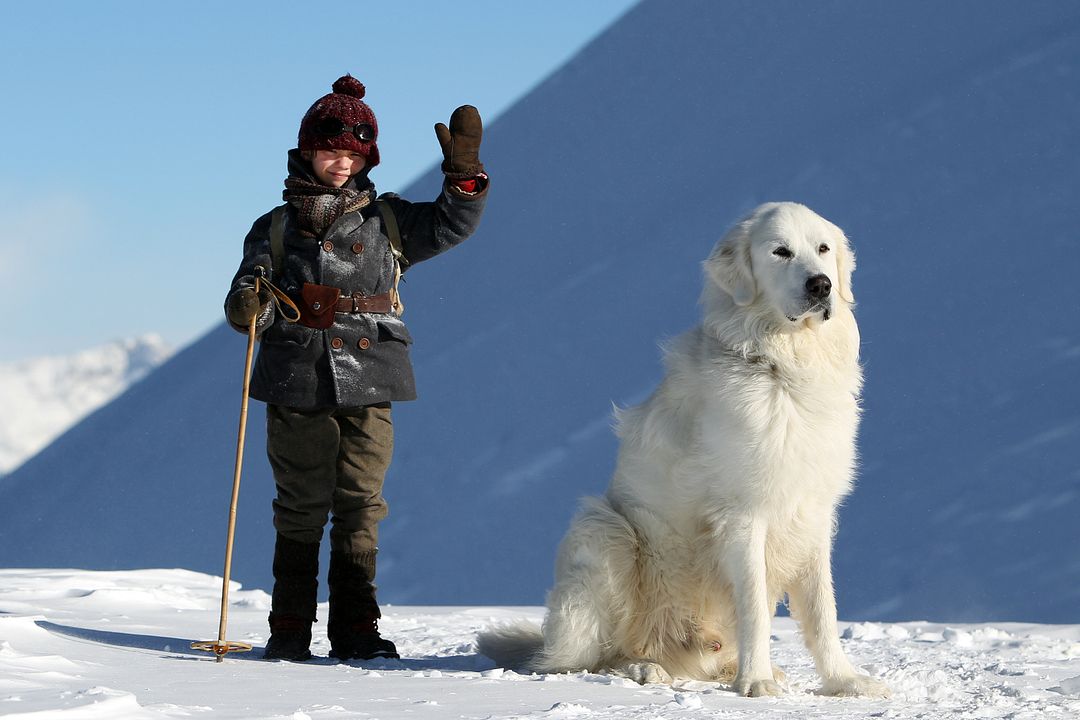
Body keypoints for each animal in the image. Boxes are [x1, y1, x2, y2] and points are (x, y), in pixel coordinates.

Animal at [477, 202, 889, 699]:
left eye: (823, 249)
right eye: (780, 252)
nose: (821, 285)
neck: (781, 366)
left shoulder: (813, 513)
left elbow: (823, 611)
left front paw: (843, 681)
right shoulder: (743, 515)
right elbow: (754, 606)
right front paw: (756, 682)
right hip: (606, 532)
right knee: (588, 660)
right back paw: (646, 668)